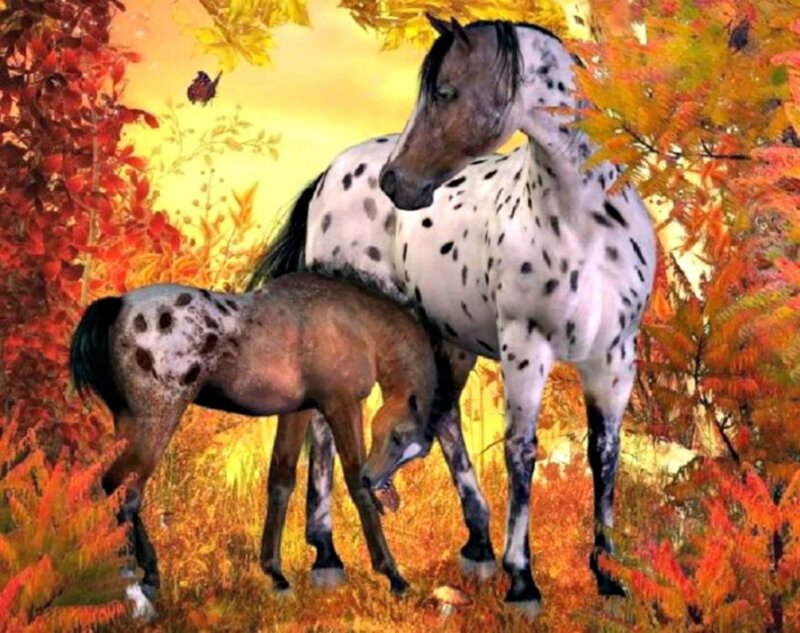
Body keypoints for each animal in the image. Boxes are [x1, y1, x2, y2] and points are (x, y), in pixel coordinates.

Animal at [69, 271, 440, 619]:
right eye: (397, 436)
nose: (379, 482)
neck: (357, 323)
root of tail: (118, 305)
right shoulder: (341, 405)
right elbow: (353, 482)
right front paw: (394, 576)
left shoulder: (298, 411)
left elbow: (281, 482)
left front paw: (276, 576)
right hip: (155, 424)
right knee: (122, 495)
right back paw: (136, 592)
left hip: (132, 426)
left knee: (115, 492)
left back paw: (148, 579)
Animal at [248, 16, 656, 618]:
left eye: (444, 92)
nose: (395, 183)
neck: (584, 222)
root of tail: (331, 172)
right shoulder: (525, 348)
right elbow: (521, 452)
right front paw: (523, 581)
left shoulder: (613, 359)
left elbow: (605, 456)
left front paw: (608, 578)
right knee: (324, 432)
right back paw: (327, 556)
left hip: (450, 337)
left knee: (442, 421)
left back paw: (477, 544)